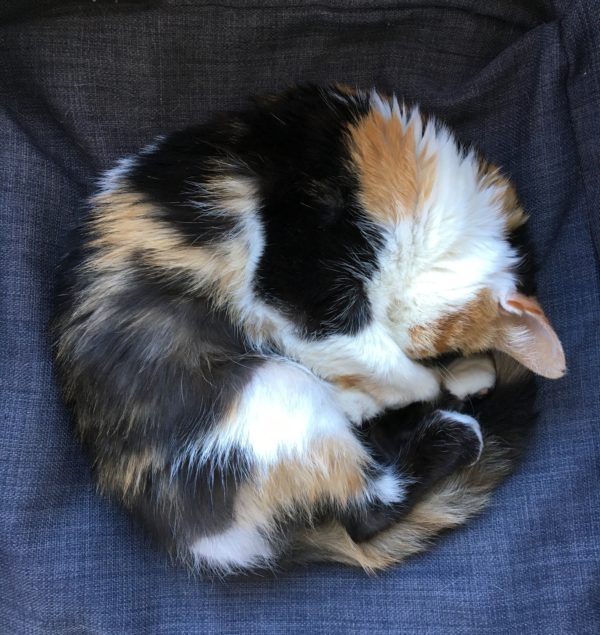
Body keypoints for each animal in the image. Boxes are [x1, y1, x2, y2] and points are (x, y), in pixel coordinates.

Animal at [51, 85, 564, 576]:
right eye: (436, 353)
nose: (458, 366)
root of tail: (205, 545)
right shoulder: (295, 281)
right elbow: (388, 365)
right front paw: (410, 387)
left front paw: (458, 376)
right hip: (273, 387)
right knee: (366, 511)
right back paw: (451, 429)